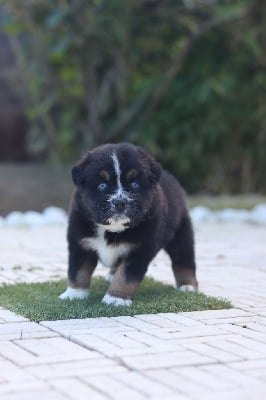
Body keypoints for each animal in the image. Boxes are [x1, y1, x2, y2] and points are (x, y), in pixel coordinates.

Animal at [59, 143, 197, 306]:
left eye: (134, 184)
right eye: (102, 185)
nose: (120, 202)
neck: (111, 230)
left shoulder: (139, 249)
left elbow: (125, 276)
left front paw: (115, 298)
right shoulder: (80, 243)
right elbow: (78, 272)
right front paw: (74, 294)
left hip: (181, 234)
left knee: (184, 260)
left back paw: (188, 286)